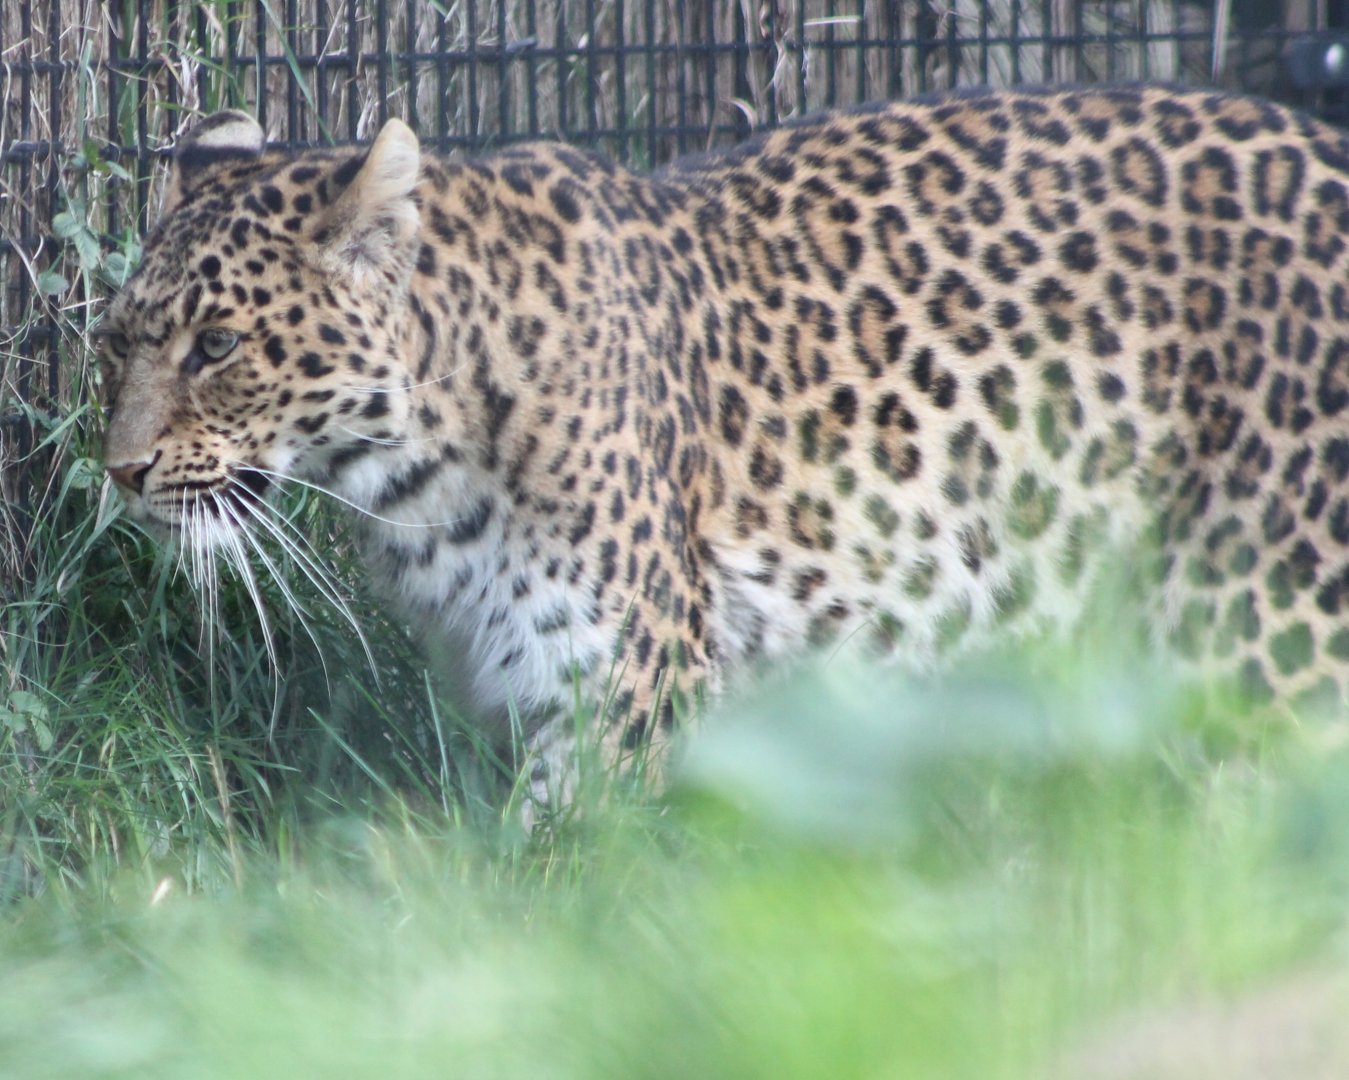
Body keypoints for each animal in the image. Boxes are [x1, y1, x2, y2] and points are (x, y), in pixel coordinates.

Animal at [98, 83, 1349, 799]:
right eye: (116, 343)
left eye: (217, 345)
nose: (120, 472)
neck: (418, 474)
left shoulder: (619, 698)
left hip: (1269, 633)